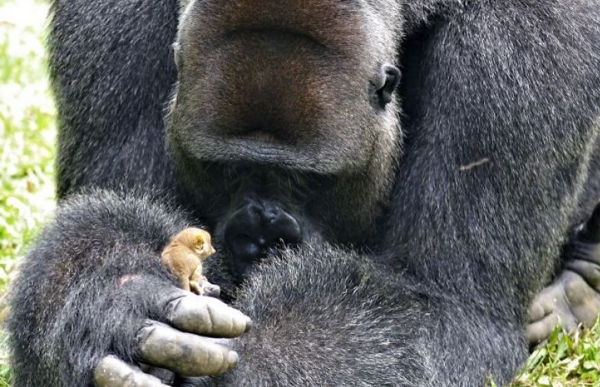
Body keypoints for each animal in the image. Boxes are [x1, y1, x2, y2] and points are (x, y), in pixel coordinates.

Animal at [7, 0, 600, 386]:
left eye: (310, 181)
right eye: (225, 170)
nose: (261, 238)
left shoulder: (525, 43)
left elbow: (444, 304)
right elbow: (118, 210)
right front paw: (110, 293)